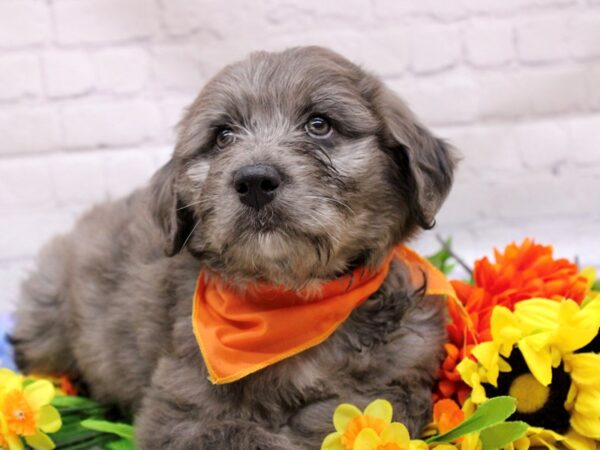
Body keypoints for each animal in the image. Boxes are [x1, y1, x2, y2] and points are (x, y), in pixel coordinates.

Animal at [11, 47, 454, 448]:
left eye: (319, 125)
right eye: (223, 136)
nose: (254, 181)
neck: (291, 301)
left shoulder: (400, 373)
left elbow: (352, 412)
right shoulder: (179, 409)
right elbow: (240, 435)